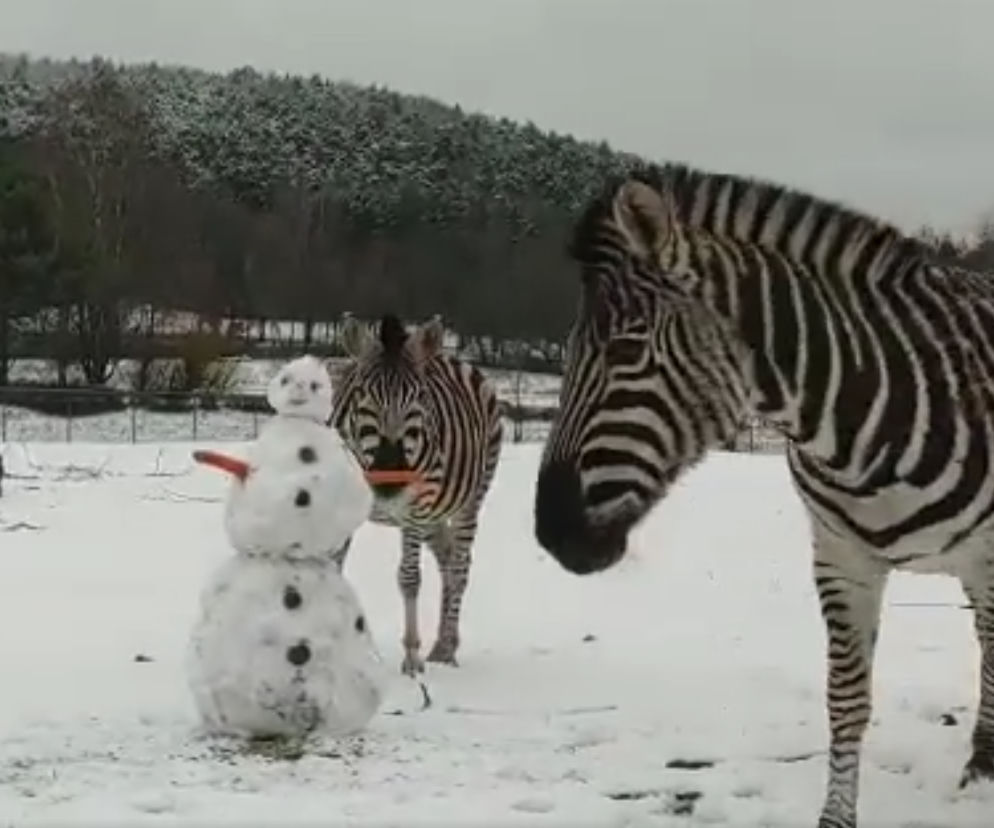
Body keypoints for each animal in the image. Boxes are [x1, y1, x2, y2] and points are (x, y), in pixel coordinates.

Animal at [331, 314, 503, 676]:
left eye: (419, 399)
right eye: (362, 397)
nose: (390, 482)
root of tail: (454, 359)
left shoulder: (413, 511)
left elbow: (409, 578)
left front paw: (411, 658)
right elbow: (333, 570)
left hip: (468, 501)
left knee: (460, 566)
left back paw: (446, 649)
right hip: (435, 516)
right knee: (448, 557)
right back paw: (442, 643)